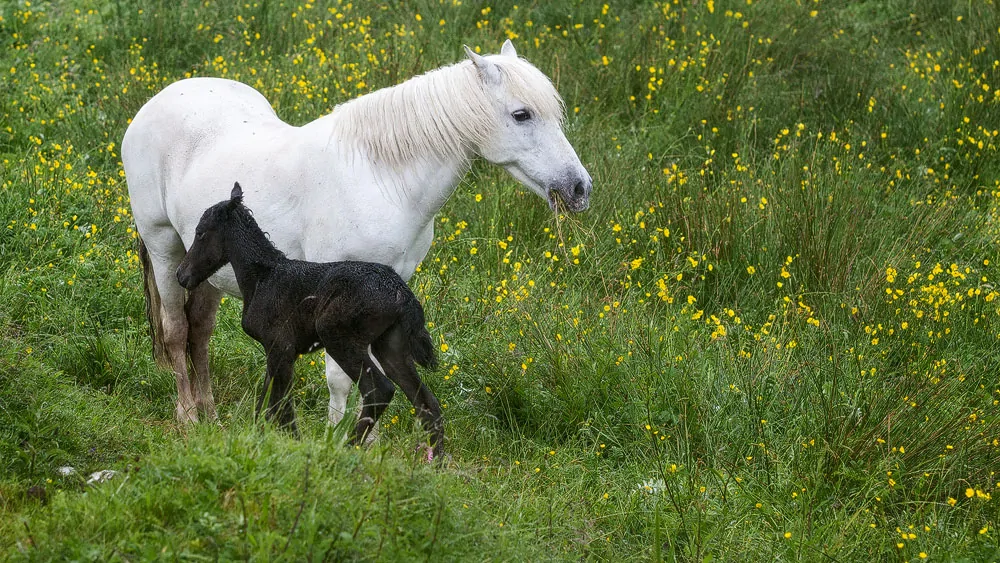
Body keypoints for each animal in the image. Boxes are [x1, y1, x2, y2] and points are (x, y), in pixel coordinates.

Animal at [125, 39, 592, 426]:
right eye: (521, 114)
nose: (579, 189)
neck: (380, 179)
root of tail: (155, 103)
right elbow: (340, 378)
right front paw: (334, 441)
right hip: (166, 249)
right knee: (176, 331)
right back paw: (188, 418)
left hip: (205, 267)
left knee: (200, 332)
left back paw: (210, 415)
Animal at [178, 183, 444, 456]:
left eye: (200, 233)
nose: (181, 275)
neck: (263, 277)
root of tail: (402, 293)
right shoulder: (277, 351)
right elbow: (266, 403)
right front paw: (259, 440)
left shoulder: (281, 348)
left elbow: (281, 405)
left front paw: (292, 444)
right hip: (391, 346)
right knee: (427, 403)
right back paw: (436, 460)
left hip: (337, 335)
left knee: (380, 390)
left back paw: (347, 448)